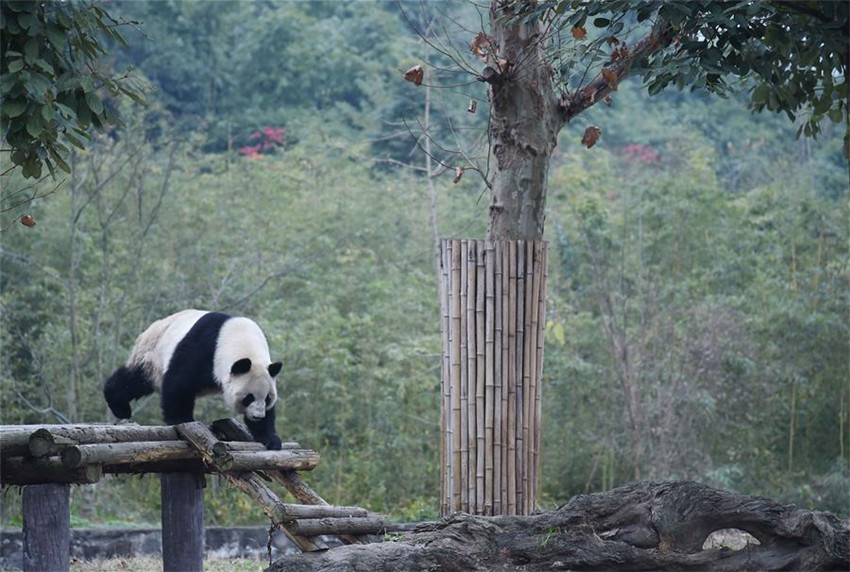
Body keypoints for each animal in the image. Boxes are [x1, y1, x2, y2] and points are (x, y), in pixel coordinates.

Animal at [103, 309, 283, 449]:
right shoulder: (204, 349)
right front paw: (182, 420)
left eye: (267, 398)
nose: (258, 416)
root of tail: (150, 329)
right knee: (134, 380)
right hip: (152, 354)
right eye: (248, 397)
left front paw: (270, 439)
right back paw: (119, 406)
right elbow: (178, 384)